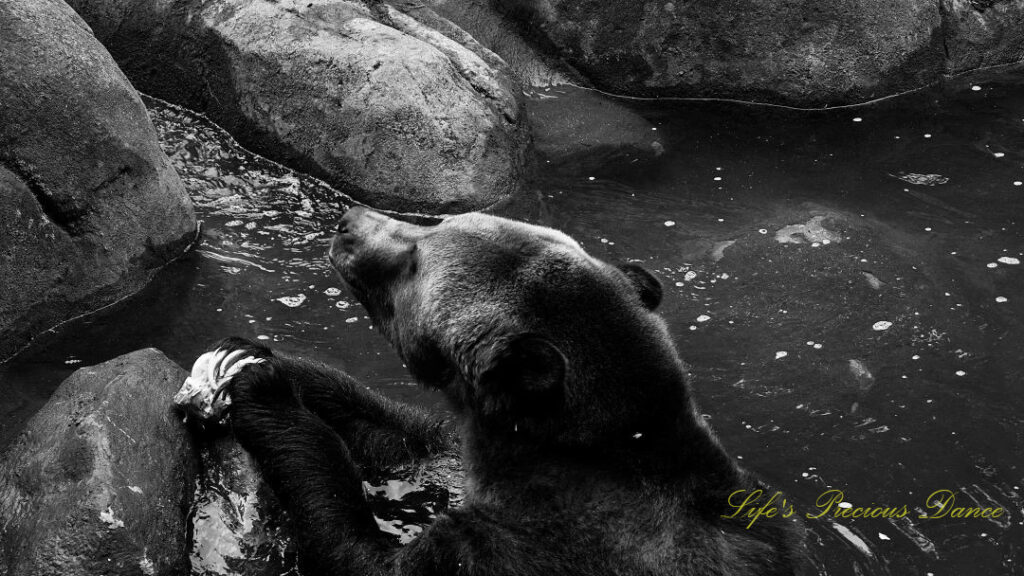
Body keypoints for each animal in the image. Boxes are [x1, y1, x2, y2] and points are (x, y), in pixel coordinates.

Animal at [182, 206, 806, 573]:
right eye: (437, 222)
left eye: (415, 258)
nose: (348, 221)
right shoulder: (458, 455)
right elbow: (401, 437)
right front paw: (253, 355)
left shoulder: (524, 550)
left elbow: (358, 552)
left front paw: (265, 392)